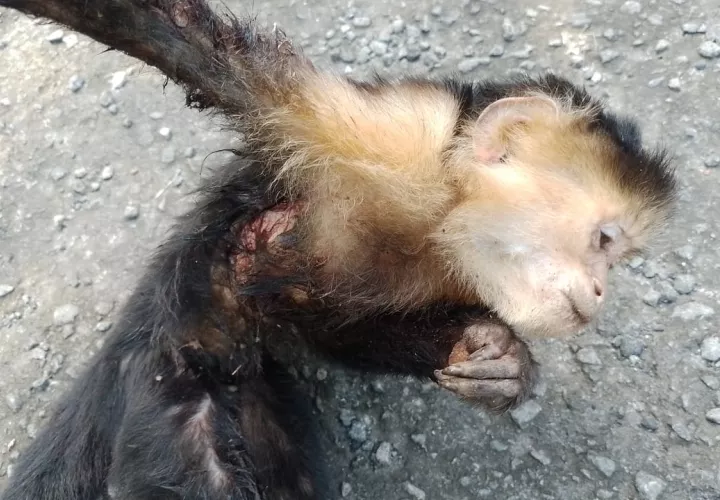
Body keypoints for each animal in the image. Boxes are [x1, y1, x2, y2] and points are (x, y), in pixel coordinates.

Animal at [0, 0, 677, 499]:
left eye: (618, 259)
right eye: (604, 240)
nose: (601, 292)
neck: (436, 218)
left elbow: (335, 329)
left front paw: (500, 359)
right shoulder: (385, 131)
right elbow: (192, 49)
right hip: (168, 375)